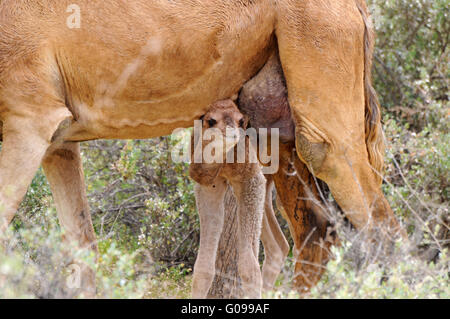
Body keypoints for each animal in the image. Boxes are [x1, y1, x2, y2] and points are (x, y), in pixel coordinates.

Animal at [0, 0, 404, 298]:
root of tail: (356, 6)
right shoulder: (59, 142)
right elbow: (83, 244)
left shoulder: (30, 121)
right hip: (283, 131)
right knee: (317, 231)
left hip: (324, 122)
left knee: (382, 228)